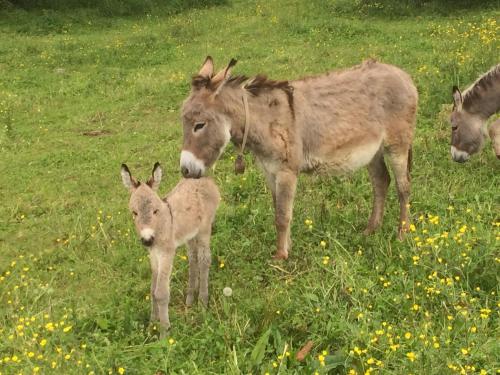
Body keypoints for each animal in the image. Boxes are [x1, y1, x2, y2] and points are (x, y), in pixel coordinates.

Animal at [120, 163, 220, 336]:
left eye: (155, 211)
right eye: (134, 213)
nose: (147, 240)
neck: (162, 223)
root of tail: (205, 178)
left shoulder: (167, 253)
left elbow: (160, 293)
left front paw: (164, 333)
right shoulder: (153, 255)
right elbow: (152, 290)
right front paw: (151, 324)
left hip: (204, 230)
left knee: (204, 260)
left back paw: (202, 302)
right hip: (190, 235)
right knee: (193, 259)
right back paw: (190, 298)